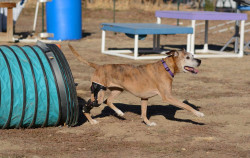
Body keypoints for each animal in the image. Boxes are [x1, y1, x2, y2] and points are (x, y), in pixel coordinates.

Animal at [68, 44, 203, 126]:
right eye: (188, 57)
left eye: (193, 55)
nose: (200, 61)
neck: (167, 67)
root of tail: (98, 66)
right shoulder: (168, 97)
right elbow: (186, 106)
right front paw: (199, 114)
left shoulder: (144, 98)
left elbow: (143, 113)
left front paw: (148, 123)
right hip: (98, 94)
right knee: (87, 106)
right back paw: (92, 121)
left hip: (117, 90)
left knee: (108, 101)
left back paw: (120, 113)